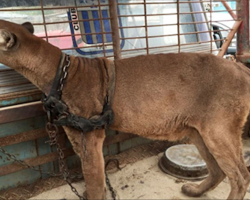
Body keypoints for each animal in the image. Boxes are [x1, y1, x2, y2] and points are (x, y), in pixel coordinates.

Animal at [0, 20, 250, 200]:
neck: (58, 71)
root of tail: (240, 67)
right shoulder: (76, 135)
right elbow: (95, 174)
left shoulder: (89, 135)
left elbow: (93, 175)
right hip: (198, 131)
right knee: (218, 170)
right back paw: (195, 191)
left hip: (218, 131)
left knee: (240, 176)